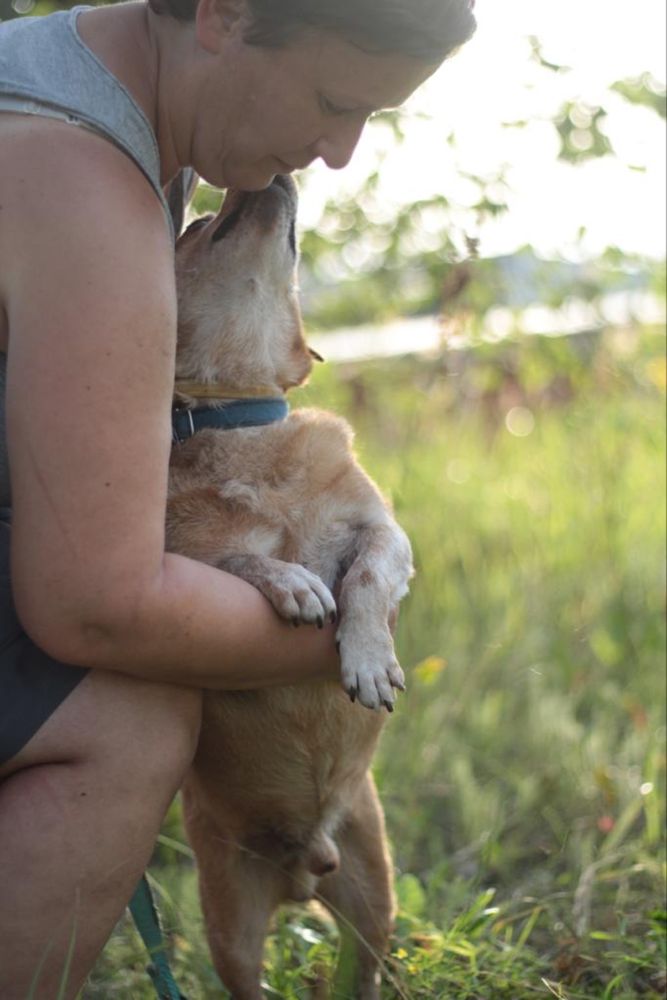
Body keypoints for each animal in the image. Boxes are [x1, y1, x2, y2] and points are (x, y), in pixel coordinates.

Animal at [167, 176, 414, 996]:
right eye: (200, 228)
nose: (273, 176)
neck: (246, 430)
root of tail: (302, 871)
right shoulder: (184, 565)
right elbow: (241, 562)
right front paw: (296, 583)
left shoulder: (384, 534)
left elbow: (366, 573)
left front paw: (367, 658)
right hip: (230, 926)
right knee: (247, 979)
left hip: (374, 899)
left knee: (364, 969)